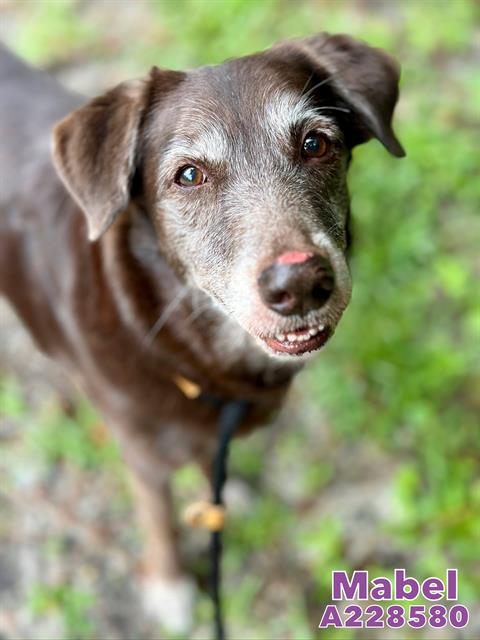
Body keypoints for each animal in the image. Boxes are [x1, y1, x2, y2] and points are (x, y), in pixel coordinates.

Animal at [0, 36, 404, 636]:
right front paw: (170, 586)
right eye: (188, 176)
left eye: (315, 143)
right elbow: (159, 517)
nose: (299, 285)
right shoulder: (141, 451)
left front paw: (223, 491)